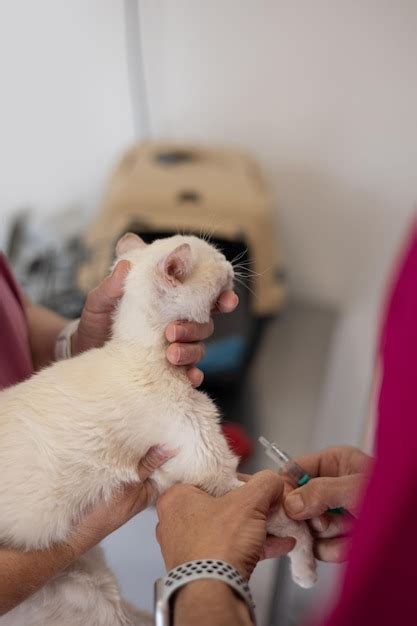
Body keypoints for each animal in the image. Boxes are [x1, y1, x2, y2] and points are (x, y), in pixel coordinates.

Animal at [0, 234, 314, 624]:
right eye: (216, 256)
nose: (231, 262)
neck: (139, 353)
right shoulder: (210, 471)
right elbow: (289, 518)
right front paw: (307, 566)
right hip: (89, 598)